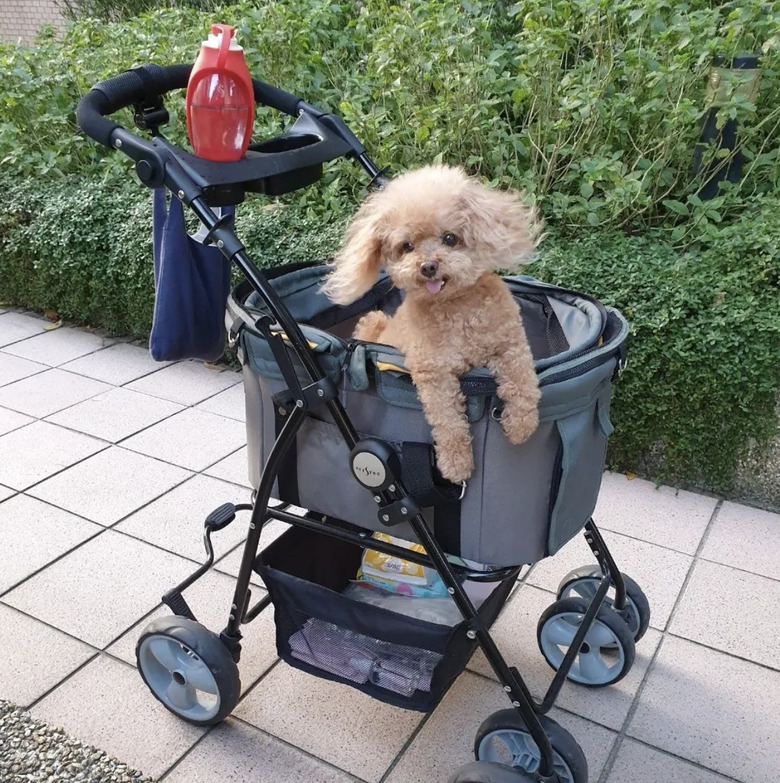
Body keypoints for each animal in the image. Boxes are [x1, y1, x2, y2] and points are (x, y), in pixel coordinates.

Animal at [322, 165, 544, 484]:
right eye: (406, 246)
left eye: (450, 238)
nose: (428, 266)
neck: (455, 307)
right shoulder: (434, 373)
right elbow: (448, 423)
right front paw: (456, 465)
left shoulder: (510, 344)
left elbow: (524, 386)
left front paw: (520, 426)